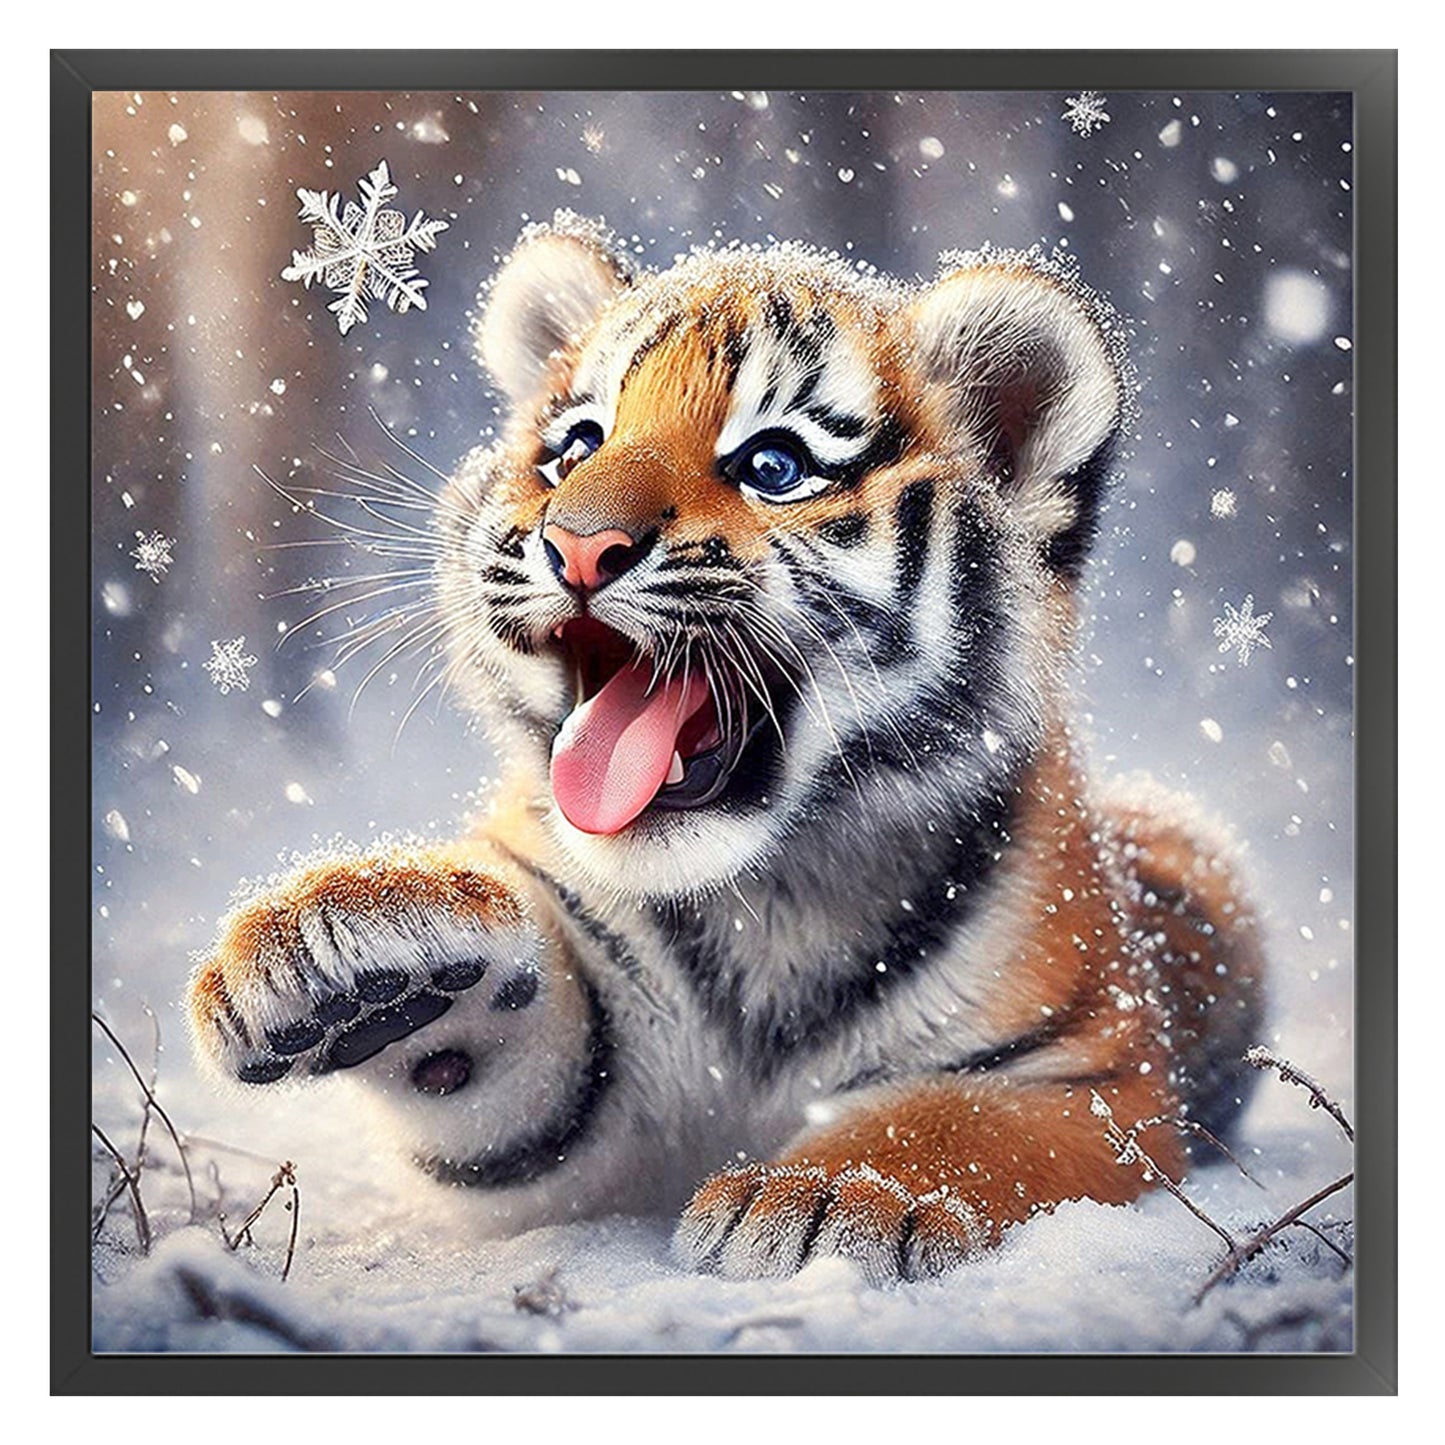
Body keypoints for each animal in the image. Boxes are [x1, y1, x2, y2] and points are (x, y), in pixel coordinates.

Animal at [187, 212, 1265, 1285]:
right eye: (575, 445)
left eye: (771, 465)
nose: (577, 546)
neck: (770, 901)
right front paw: (347, 942)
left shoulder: (1095, 1071)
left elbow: (956, 1117)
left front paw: (825, 1193)